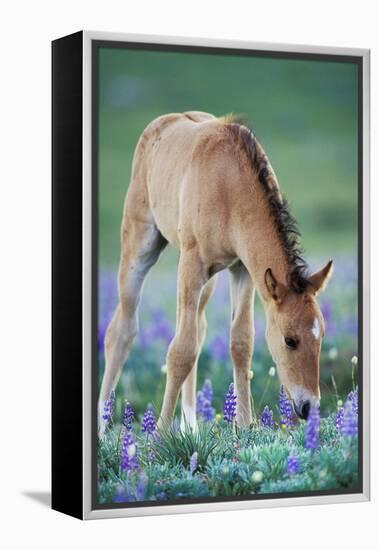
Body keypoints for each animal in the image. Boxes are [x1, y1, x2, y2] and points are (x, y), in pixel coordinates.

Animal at [98, 112, 332, 438]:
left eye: (321, 336)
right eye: (290, 340)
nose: (310, 408)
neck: (229, 185)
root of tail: (161, 122)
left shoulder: (243, 268)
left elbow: (240, 342)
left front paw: (245, 425)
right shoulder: (192, 262)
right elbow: (180, 350)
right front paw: (159, 434)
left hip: (209, 281)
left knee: (198, 328)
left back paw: (190, 427)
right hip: (140, 247)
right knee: (121, 331)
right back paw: (102, 425)